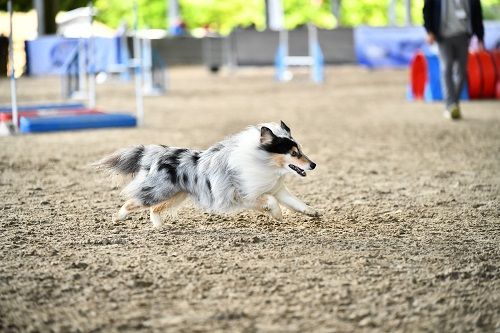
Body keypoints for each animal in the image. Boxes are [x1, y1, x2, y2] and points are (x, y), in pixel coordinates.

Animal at [95, 120, 318, 227]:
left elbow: (296, 203)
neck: (263, 162)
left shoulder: (277, 189)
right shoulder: (244, 195)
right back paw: (117, 218)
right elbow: (271, 202)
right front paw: (278, 215)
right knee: (132, 202)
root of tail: (158, 153)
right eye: (294, 153)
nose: (313, 165)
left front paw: (313, 212)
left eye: (300, 150)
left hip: (176, 195)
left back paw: (160, 227)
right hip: (159, 192)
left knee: (154, 209)